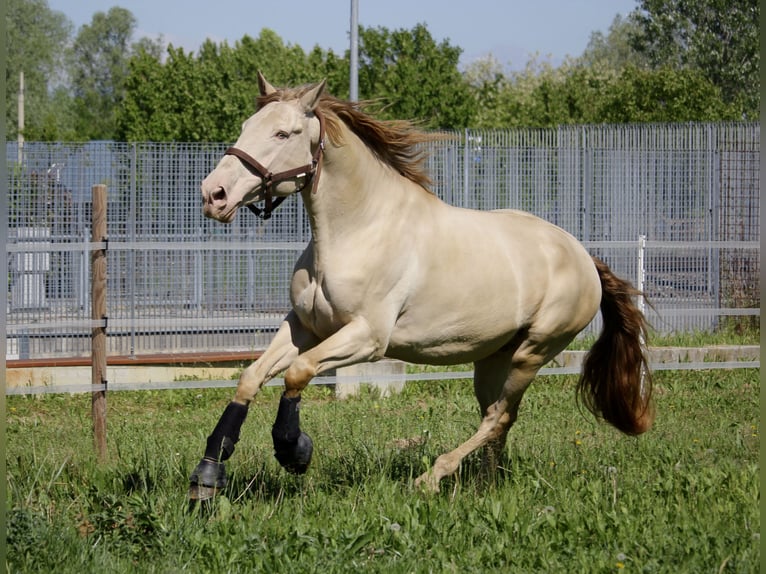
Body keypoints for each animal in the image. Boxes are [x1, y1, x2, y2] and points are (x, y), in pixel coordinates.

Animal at [190, 72, 654, 498]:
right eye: (246, 126)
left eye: (283, 133)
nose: (213, 195)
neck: (357, 230)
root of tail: (583, 257)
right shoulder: (304, 327)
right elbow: (251, 378)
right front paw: (208, 476)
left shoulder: (367, 337)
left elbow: (298, 373)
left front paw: (294, 451)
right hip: (493, 358)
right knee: (497, 417)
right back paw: (484, 487)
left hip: (533, 352)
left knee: (498, 418)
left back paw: (433, 477)